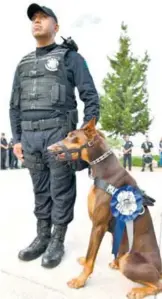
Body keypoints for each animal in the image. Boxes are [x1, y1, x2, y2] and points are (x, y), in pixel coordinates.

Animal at [48, 118, 162, 298]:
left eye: (72, 136)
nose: (48, 148)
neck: (104, 170)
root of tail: (161, 269)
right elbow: (90, 255)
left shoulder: (98, 225)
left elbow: (90, 257)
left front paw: (80, 280)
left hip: (129, 261)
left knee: (157, 284)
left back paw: (138, 291)